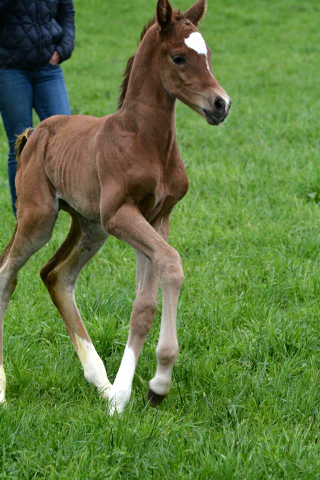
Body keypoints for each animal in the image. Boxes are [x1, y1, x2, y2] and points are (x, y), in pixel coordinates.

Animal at [0, 0, 230, 412]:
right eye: (179, 57)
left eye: (207, 56)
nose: (221, 104)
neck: (145, 141)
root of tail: (34, 133)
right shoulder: (120, 214)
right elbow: (171, 263)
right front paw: (145, 387)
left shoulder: (157, 217)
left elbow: (144, 303)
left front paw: (136, 391)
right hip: (39, 217)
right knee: (7, 273)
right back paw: (2, 389)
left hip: (90, 226)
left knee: (56, 275)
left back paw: (100, 382)